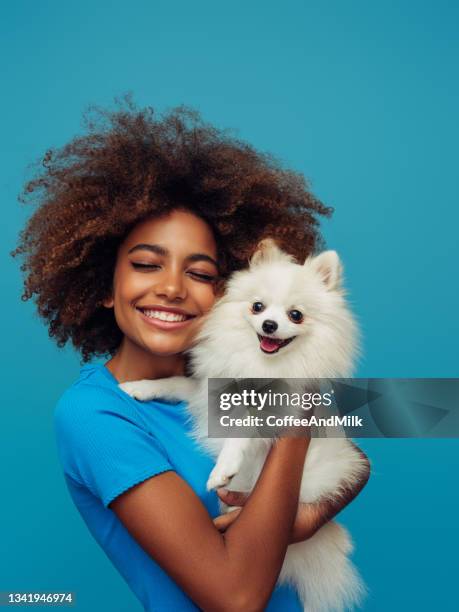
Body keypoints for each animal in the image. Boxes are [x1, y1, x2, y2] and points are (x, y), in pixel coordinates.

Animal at [121, 240, 370, 612]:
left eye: (295, 315)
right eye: (257, 307)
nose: (268, 325)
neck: (260, 365)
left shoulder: (277, 414)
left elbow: (241, 431)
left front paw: (222, 471)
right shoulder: (207, 391)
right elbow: (175, 382)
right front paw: (138, 387)